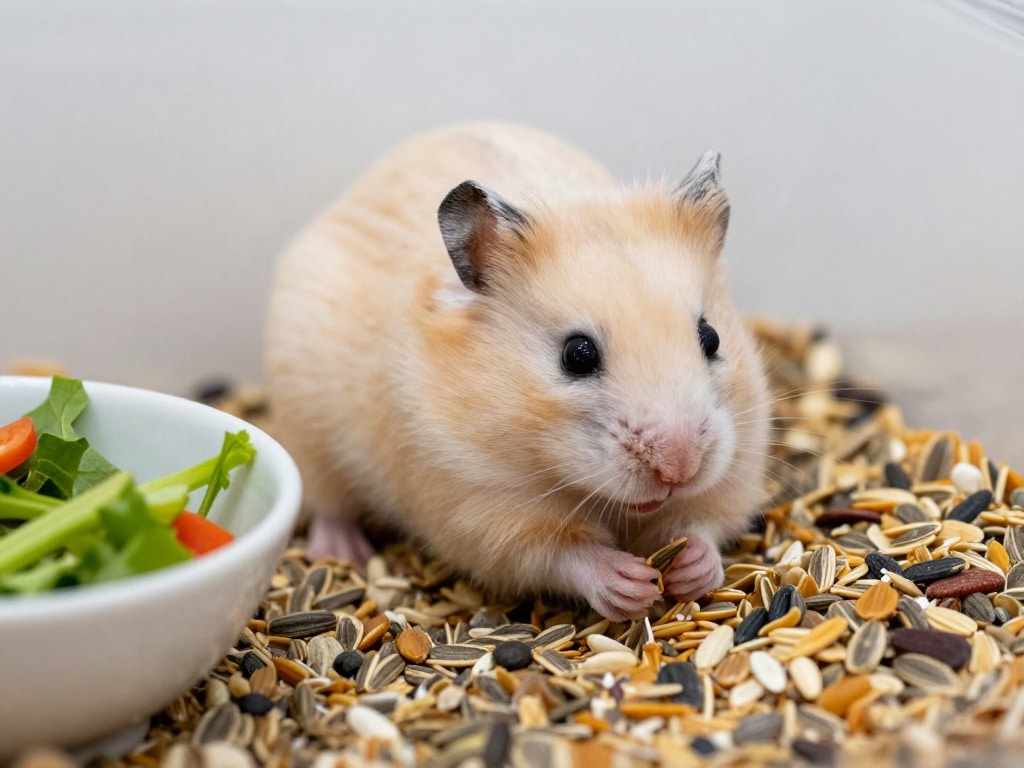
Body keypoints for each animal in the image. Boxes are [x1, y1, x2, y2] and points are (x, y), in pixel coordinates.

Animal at [265, 122, 770, 621]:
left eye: (712, 338)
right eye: (577, 355)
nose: (679, 468)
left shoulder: (736, 468)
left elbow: (703, 525)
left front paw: (691, 571)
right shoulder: (479, 511)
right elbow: (563, 556)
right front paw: (631, 584)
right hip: (310, 435)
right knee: (328, 505)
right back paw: (341, 552)